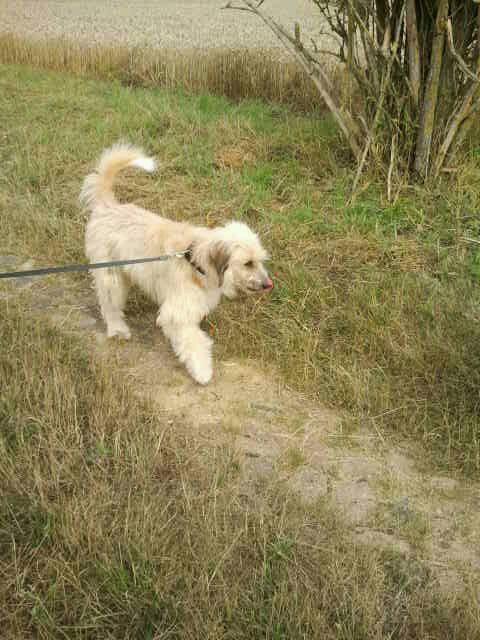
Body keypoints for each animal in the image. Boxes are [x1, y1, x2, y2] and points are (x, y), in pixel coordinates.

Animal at [80, 143, 273, 385]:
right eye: (248, 263)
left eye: (260, 261)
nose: (268, 285)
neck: (196, 261)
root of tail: (107, 205)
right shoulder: (177, 313)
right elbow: (194, 342)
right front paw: (202, 372)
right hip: (110, 276)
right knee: (109, 305)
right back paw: (117, 329)